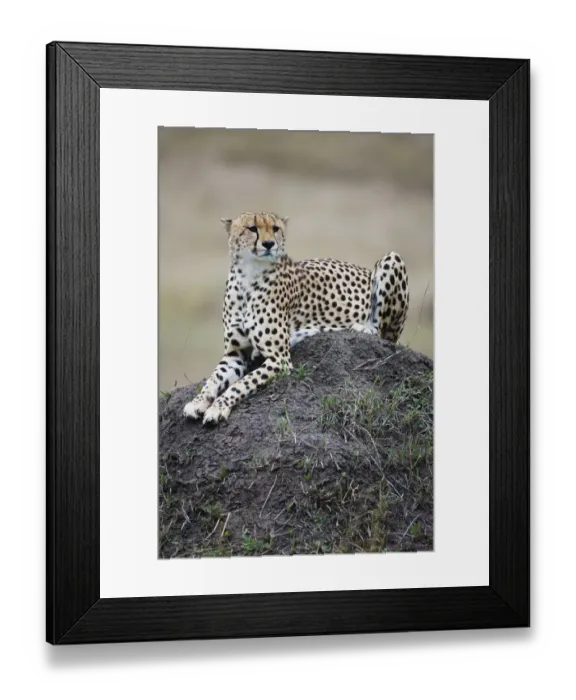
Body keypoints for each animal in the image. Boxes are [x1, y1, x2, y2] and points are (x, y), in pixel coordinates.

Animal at [183, 211, 409, 426]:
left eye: (275, 228)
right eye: (252, 228)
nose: (269, 244)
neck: (248, 276)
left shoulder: (279, 359)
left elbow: (241, 384)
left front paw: (218, 408)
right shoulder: (234, 354)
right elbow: (213, 380)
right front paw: (197, 403)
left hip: (393, 258)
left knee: (382, 333)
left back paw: (363, 328)